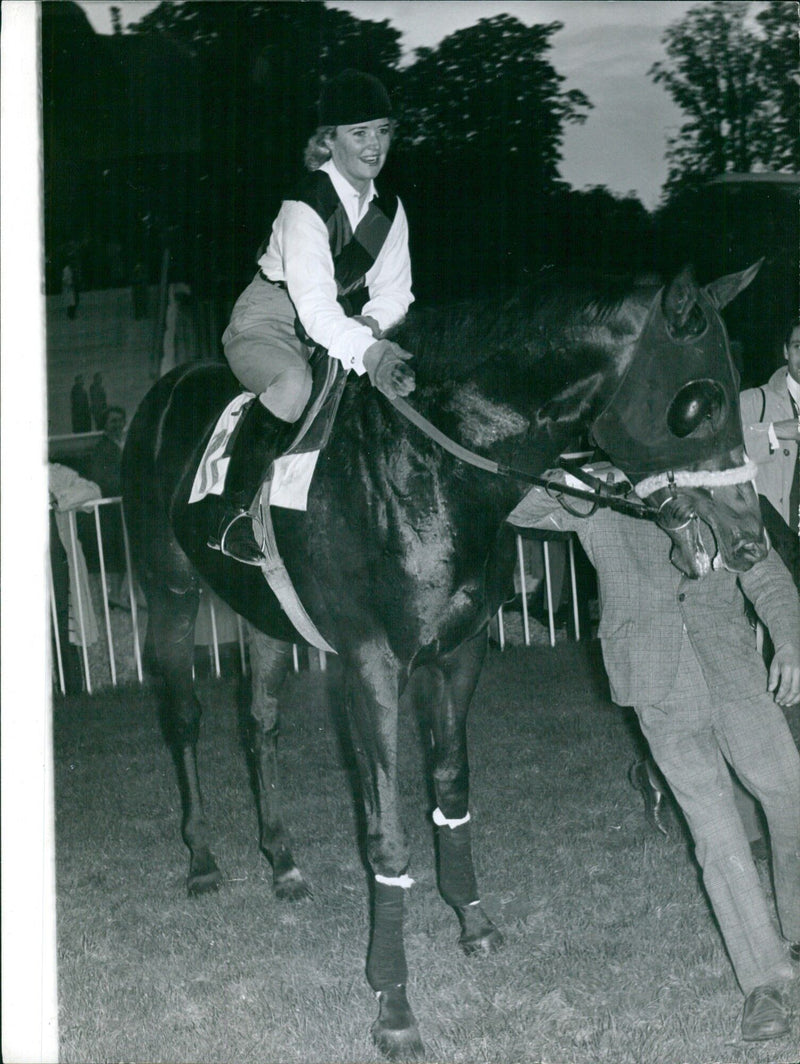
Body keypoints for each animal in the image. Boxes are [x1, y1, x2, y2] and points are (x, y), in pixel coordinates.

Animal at [121, 263, 765, 1055]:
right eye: (699, 402)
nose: (750, 538)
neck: (426, 467)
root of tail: (164, 392)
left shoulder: (457, 656)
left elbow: (451, 793)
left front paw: (472, 920)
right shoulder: (373, 668)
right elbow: (389, 838)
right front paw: (394, 1005)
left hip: (264, 618)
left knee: (260, 725)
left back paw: (283, 860)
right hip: (170, 595)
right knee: (183, 720)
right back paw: (203, 861)